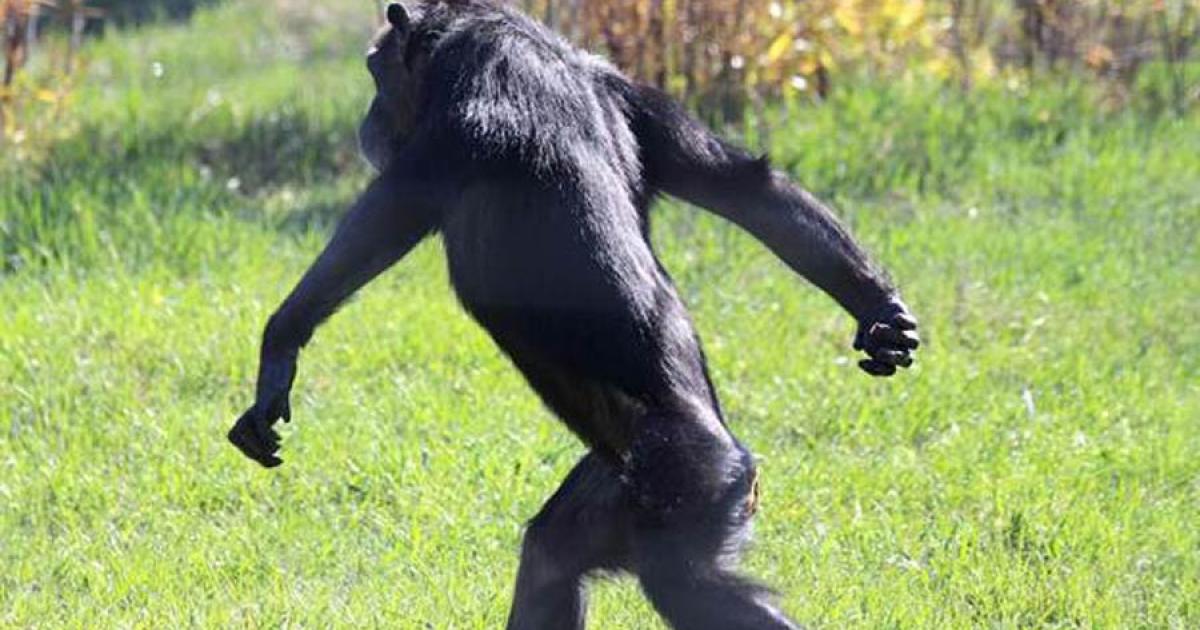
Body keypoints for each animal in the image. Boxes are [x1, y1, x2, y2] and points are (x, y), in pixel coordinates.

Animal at [228, 2, 920, 628]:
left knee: (684, 584)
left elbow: (388, 214)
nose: (367, 116)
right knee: (553, 558)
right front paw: (880, 313)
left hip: (687, 483)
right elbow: (743, 185)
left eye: (375, 70)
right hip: (619, 487)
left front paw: (279, 349)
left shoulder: (464, 100)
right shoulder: (641, 99)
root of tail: (739, 458)